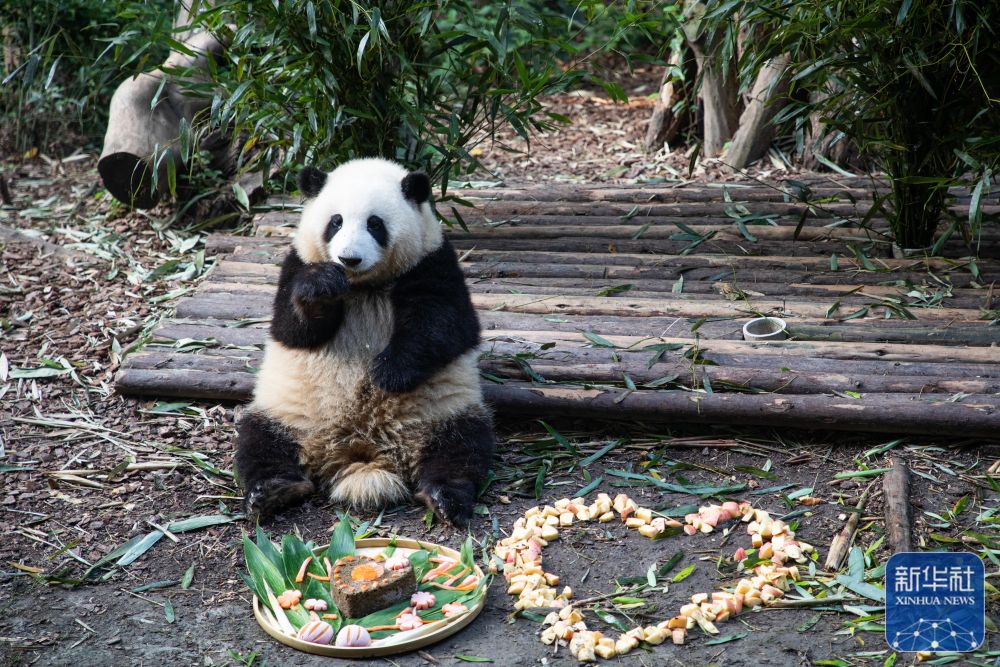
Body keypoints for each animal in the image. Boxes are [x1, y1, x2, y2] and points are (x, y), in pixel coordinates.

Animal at [238, 157, 496, 528]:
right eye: (336, 221)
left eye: (375, 224)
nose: (349, 259)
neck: (362, 287)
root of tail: (363, 450)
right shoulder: (297, 263)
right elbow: (291, 328)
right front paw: (321, 288)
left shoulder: (432, 263)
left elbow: (445, 325)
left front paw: (386, 374)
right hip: (289, 413)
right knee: (259, 442)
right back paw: (272, 490)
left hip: (442, 409)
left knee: (462, 446)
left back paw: (445, 496)